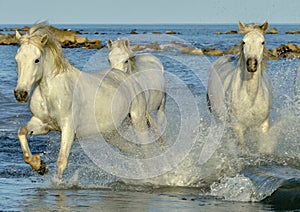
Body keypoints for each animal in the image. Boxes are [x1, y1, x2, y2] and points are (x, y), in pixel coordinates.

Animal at [14, 22, 150, 179]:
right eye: (17, 59)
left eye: (36, 60)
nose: (20, 94)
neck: (51, 92)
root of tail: (126, 76)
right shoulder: (42, 124)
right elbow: (22, 132)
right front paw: (39, 165)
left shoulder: (68, 128)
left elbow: (61, 161)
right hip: (114, 133)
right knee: (134, 151)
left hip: (138, 120)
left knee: (146, 150)